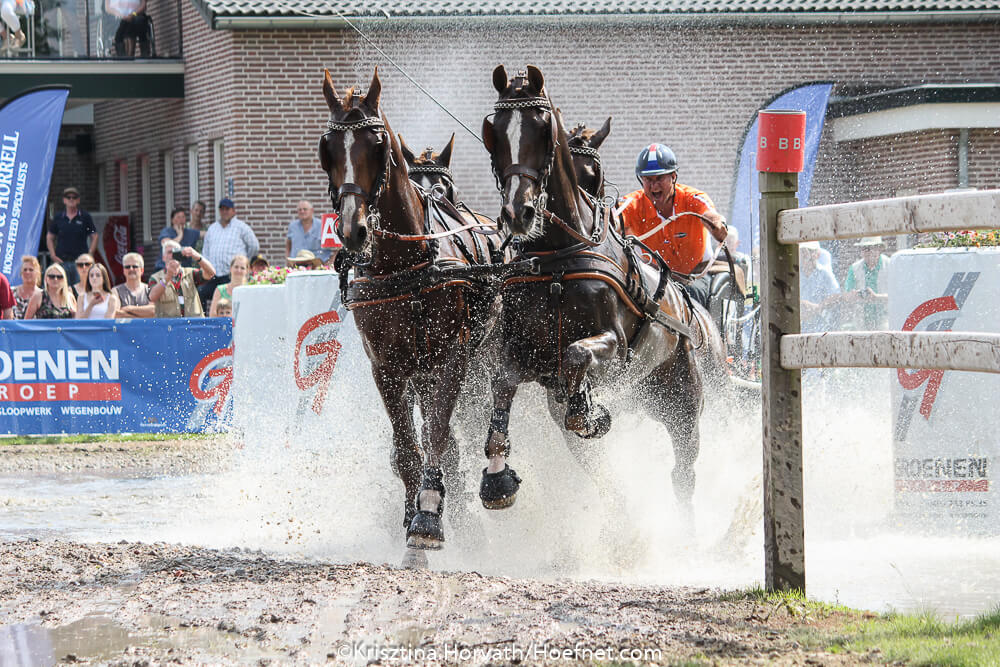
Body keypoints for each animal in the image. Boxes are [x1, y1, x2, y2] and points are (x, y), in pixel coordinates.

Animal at [318, 68, 500, 552]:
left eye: (378, 144)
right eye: (328, 149)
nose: (352, 230)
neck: (404, 264)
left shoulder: (452, 359)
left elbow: (436, 436)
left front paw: (428, 516)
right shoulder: (387, 366)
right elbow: (406, 446)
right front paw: (410, 507)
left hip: (478, 364)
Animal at [478, 65, 728, 520]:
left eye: (542, 129)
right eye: (497, 132)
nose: (518, 212)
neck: (558, 257)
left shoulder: (613, 346)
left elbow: (579, 354)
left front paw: (589, 411)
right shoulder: (524, 349)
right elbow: (503, 383)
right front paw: (496, 478)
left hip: (684, 404)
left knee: (683, 475)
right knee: (607, 479)